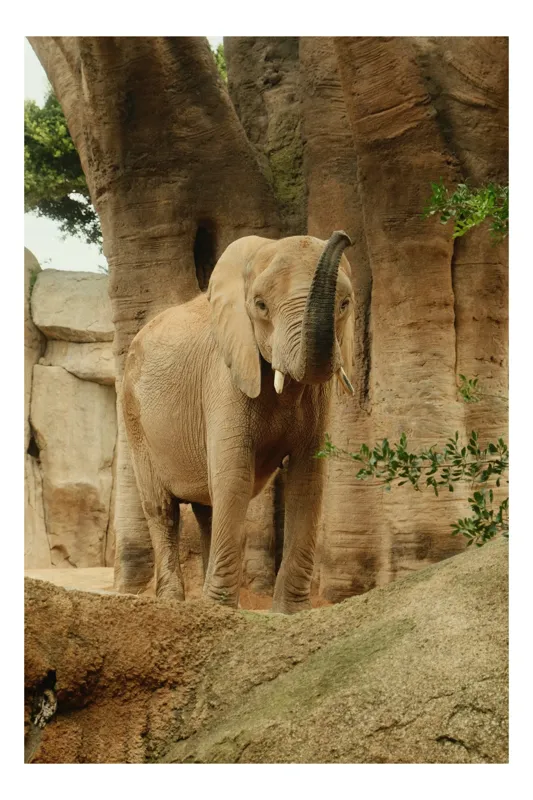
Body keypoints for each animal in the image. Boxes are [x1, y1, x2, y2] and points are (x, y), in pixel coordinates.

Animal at [122, 230, 355, 614]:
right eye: (260, 306)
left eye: (345, 305)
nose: (343, 236)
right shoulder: (224, 374)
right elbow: (235, 476)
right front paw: (220, 610)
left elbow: (307, 479)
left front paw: (290, 613)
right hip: (133, 415)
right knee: (162, 508)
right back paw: (173, 602)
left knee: (207, 508)